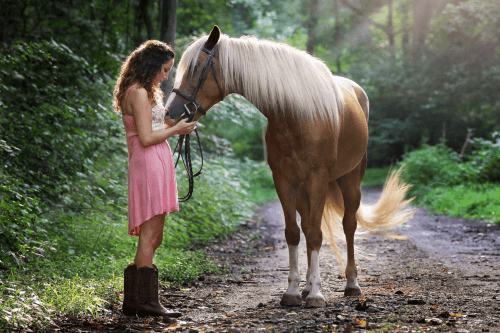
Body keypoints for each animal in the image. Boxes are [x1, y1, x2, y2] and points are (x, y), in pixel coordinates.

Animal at [166, 26, 416, 308]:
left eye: (196, 67)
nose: (170, 112)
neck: (296, 114)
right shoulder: (284, 181)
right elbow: (294, 233)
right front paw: (294, 291)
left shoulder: (318, 179)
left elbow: (317, 234)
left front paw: (317, 294)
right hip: (303, 191)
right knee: (307, 226)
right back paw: (307, 287)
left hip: (351, 180)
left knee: (348, 225)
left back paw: (351, 284)